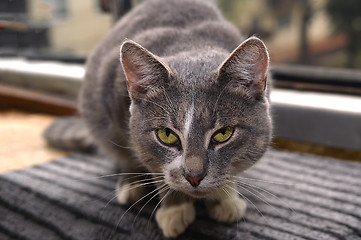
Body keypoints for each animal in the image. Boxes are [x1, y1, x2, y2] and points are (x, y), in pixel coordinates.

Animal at [79, 0, 270, 236]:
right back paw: (131, 186)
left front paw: (225, 199)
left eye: (224, 133)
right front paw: (174, 210)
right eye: (166, 135)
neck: (193, 46)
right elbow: (153, 164)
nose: (194, 176)